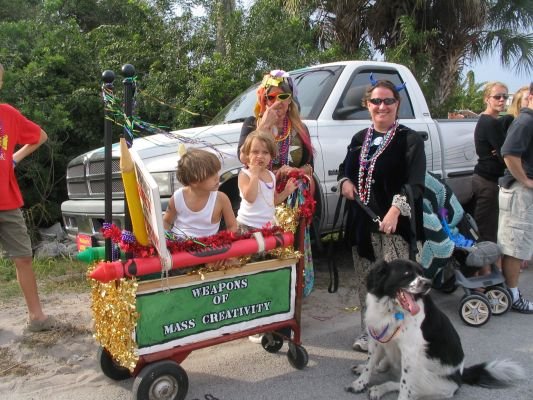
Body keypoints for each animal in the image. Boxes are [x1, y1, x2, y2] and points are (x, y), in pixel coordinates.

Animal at [344, 258, 524, 398]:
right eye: (407, 274)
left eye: (421, 273)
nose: (428, 283)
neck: (392, 309)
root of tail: (460, 376)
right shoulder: (377, 339)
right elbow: (370, 363)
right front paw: (360, 382)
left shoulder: (410, 351)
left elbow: (404, 386)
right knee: (383, 367)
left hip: (427, 378)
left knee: (402, 384)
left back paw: (379, 389)